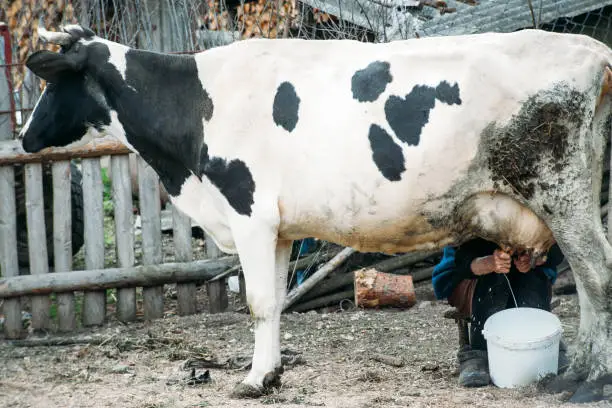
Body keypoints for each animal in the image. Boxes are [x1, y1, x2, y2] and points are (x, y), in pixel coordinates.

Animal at [19, 24, 612, 402]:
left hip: (561, 191)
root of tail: (589, 47)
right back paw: (574, 372)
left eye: (54, 79)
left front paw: (253, 380)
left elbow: (258, 304)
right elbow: (276, 304)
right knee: (584, 285)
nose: (24, 136)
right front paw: (272, 373)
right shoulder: (279, 230)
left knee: (597, 278)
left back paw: (590, 380)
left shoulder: (249, 213)